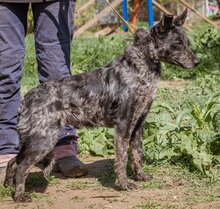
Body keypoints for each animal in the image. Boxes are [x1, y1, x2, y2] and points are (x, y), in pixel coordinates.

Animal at [3, 9, 199, 202]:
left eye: (187, 42)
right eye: (178, 43)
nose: (197, 62)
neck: (139, 67)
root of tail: (27, 98)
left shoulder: (138, 125)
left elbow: (137, 155)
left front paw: (141, 177)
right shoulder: (123, 125)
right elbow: (122, 158)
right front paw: (123, 185)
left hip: (35, 140)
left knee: (14, 162)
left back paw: (7, 187)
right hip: (45, 139)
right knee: (22, 168)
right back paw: (20, 196)